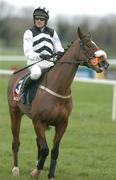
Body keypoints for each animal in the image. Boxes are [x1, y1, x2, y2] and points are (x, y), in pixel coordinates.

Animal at [7, 26, 109, 179]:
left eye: (95, 44)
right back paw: (15, 169)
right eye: (88, 45)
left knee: (38, 143)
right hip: (15, 113)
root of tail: (15, 75)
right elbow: (45, 149)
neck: (58, 88)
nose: (105, 63)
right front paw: (36, 171)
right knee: (16, 141)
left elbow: (54, 150)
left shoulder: (62, 124)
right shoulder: (38, 121)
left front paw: (49, 174)